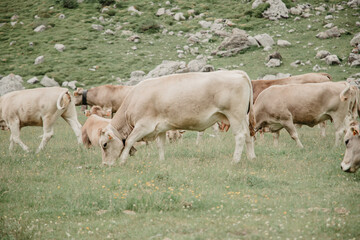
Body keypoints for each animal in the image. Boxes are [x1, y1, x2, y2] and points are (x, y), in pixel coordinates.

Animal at [97, 70, 256, 166]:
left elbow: (129, 141)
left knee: (240, 136)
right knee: (248, 135)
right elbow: (160, 145)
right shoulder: (160, 128)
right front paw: (161, 161)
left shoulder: (143, 125)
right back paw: (251, 157)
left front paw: (122, 161)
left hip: (235, 115)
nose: (104, 164)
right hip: (243, 117)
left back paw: (235, 161)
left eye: (104, 144)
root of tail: (236, 72)